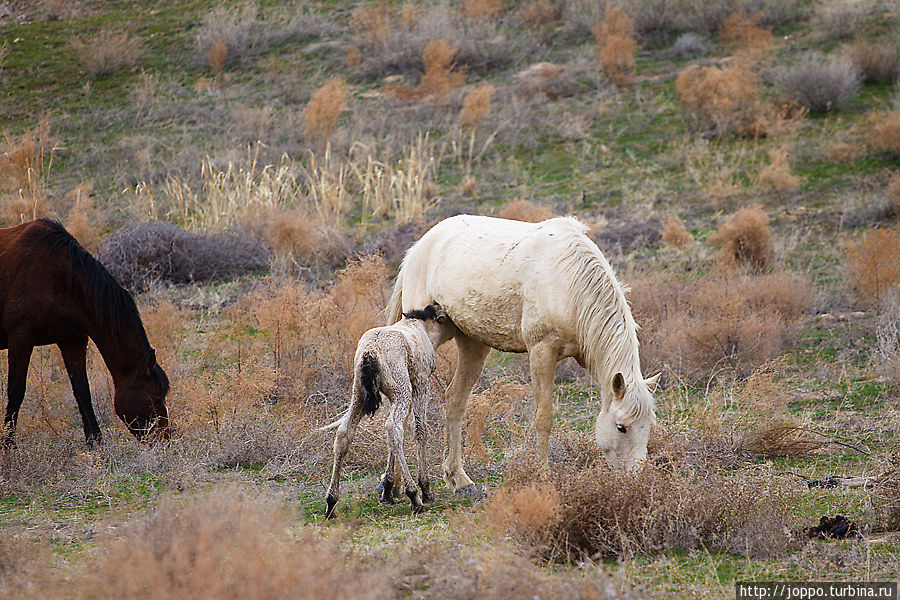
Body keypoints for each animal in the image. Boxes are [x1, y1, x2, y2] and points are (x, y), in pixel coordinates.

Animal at [1, 218, 171, 442]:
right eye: (155, 398)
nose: (165, 441)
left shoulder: (73, 340)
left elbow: (82, 392)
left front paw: (96, 443)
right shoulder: (20, 340)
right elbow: (16, 392)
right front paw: (8, 444)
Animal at [324, 302, 454, 516]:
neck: (420, 325)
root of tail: (369, 353)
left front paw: (387, 489)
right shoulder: (420, 381)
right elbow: (420, 430)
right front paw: (425, 489)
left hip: (359, 393)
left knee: (344, 433)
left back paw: (331, 502)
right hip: (401, 390)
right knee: (394, 429)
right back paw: (414, 496)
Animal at [384, 213, 656, 494]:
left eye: (649, 426)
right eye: (621, 427)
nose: (635, 480)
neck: (566, 280)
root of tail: (419, 247)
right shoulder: (542, 352)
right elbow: (544, 418)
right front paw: (544, 477)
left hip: (472, 344)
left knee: (454, 399)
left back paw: (457, 478)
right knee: (403, 412)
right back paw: (395, 485)